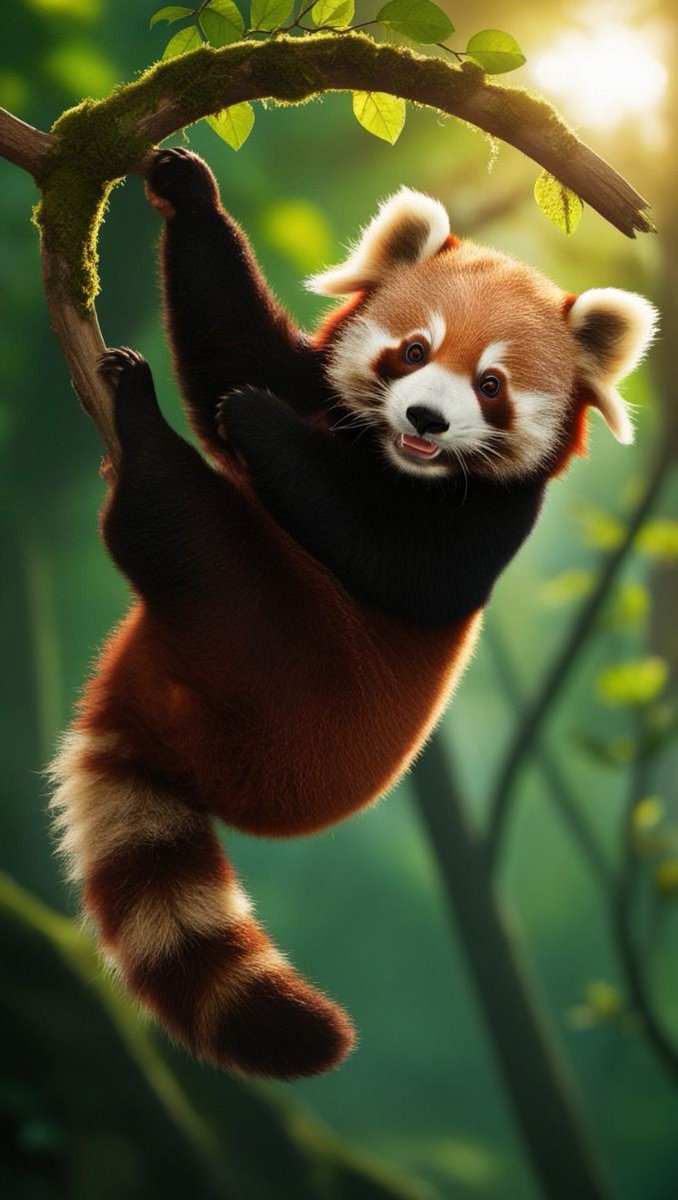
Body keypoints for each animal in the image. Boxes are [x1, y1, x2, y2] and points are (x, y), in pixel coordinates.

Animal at [49, 148, 658, 1080]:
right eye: (413, 351)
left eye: (491, 385)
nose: (426, 418)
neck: (394, 461)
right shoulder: (314, 384)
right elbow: (235, 352)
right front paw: (189, 192)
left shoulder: (483, 528)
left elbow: (381, 554)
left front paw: (256, 420)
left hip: (270, 650)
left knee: (185, 526)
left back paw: (144, 440)